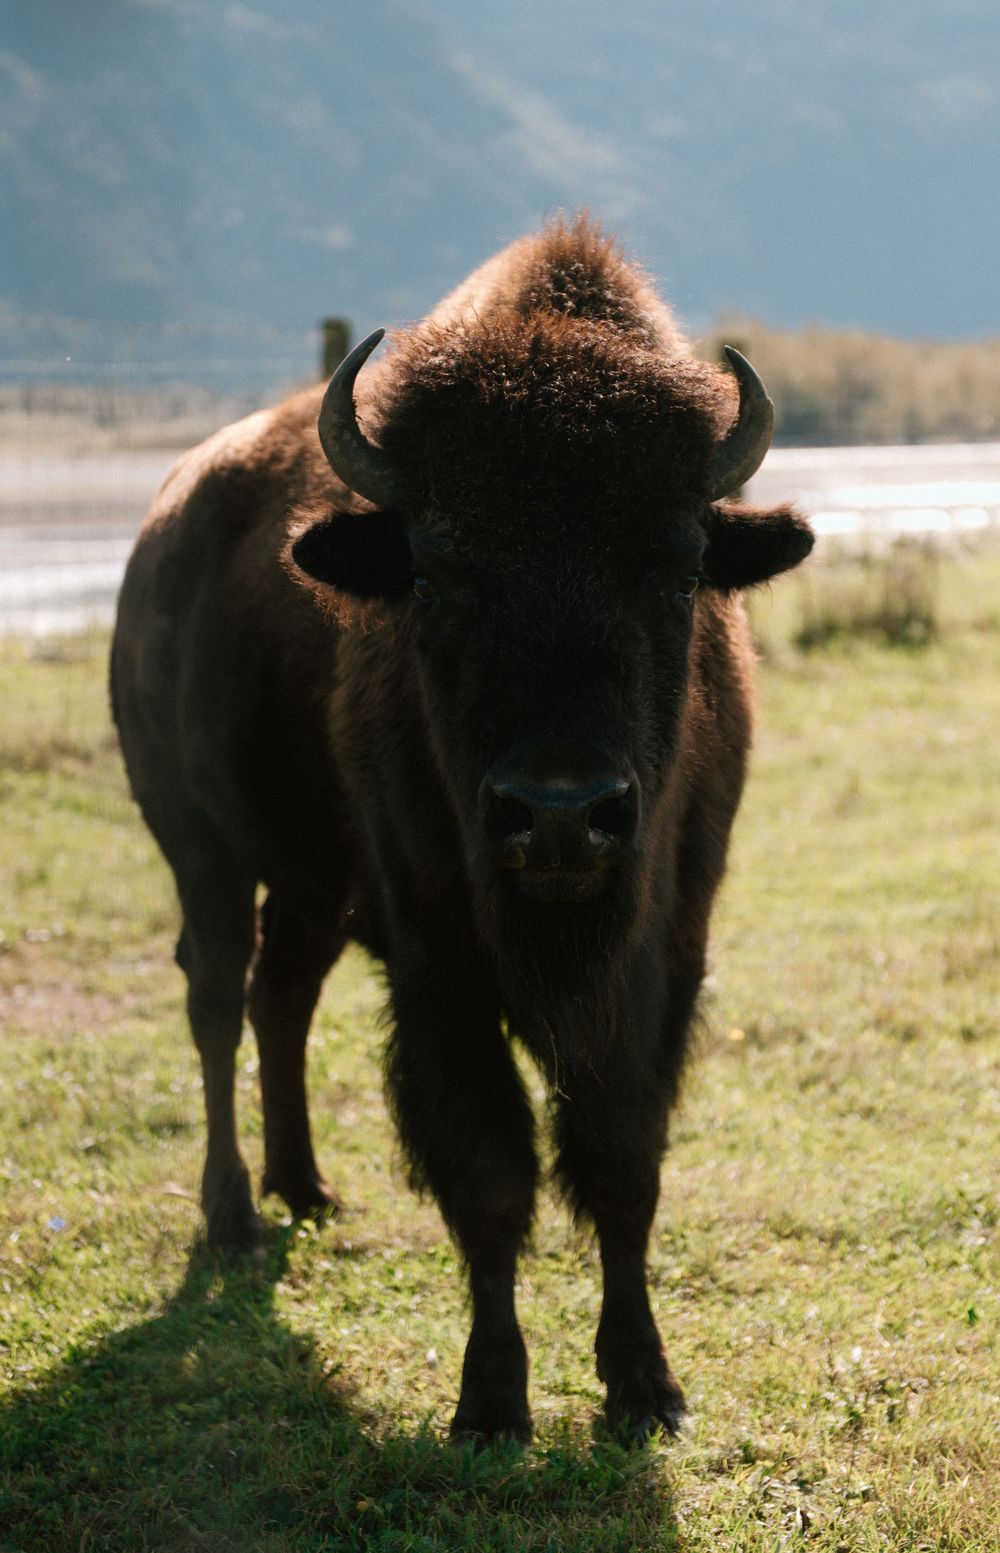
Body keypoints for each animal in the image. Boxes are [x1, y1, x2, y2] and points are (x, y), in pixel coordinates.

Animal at [111, 216, 813, 1442]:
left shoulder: (663, 959)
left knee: (279, 994)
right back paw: (235, 1217)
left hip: (311, 884)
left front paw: (645, 1387)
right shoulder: (440, 967)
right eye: (435, 571)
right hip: (200, 846)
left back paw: (307, 1188)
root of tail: (167, 518)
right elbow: (488, 1174)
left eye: (682, 567)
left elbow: (622, 1161)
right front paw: (490, 1403)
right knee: (215, 996)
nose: (561, 814)